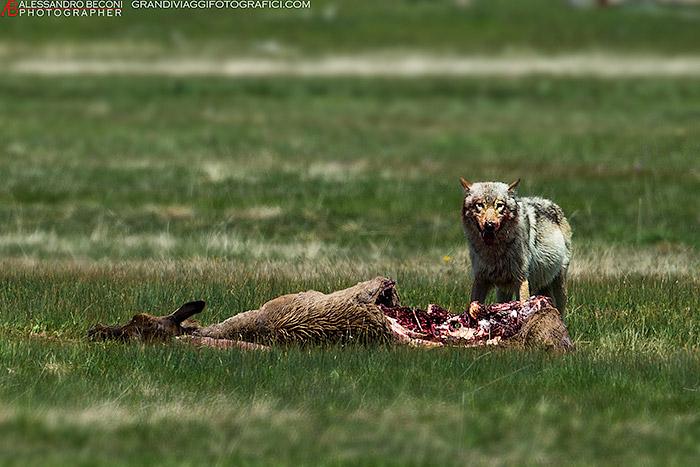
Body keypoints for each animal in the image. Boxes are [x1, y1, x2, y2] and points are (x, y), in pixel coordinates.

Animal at [462, 177, 572, 316]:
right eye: (480, 205)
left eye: (500, 205)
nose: (490, 225)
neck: (494, 253)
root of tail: (549, 202)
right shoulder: (480, 279)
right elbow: (473, 302)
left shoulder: (521, 279)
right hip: (506, 290)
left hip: (559, 284)